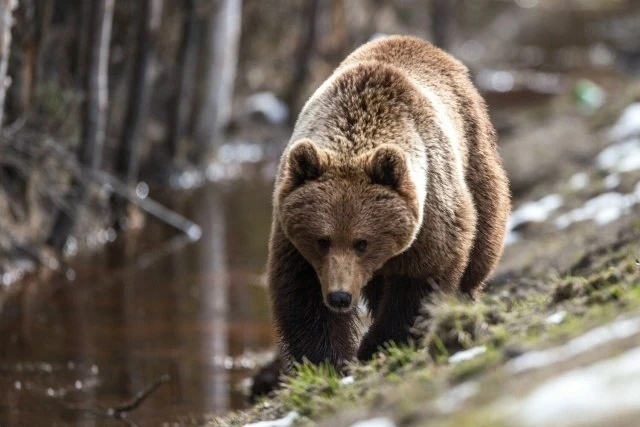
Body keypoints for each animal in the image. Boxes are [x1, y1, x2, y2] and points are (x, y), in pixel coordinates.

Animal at [267, 35, 510, 370]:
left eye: (362, 242)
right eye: (322, 240)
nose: (340, 297)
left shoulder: (431, 210)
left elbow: (421, 280)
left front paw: (378, 344)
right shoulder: (291, 231)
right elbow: (301, 292)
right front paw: (329, 359)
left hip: (475, 154)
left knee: (482, 242)